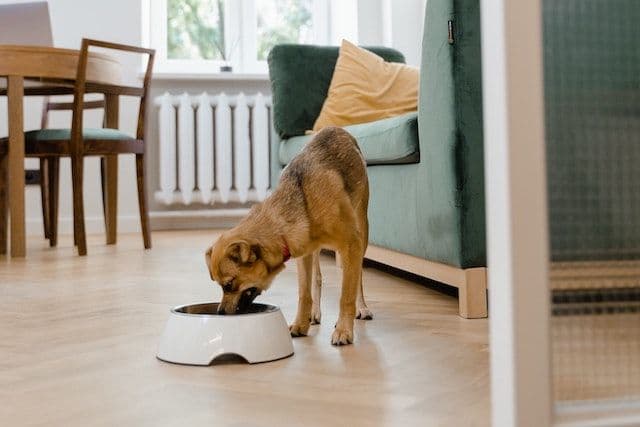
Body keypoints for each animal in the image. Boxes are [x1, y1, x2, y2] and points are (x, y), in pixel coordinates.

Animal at [208, 127, 372, 348]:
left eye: (228, 285)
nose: (220, 313)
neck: (301, 204)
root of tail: (338, 130)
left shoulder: (351, 244)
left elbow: (346, 294)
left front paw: (344, 330)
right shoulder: (303, 252)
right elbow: (304, 293)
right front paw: (301, 325)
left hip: (362, 228)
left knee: (358, 277)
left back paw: (360, 308)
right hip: (316, 251)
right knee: (317, 278)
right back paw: (315, 313)